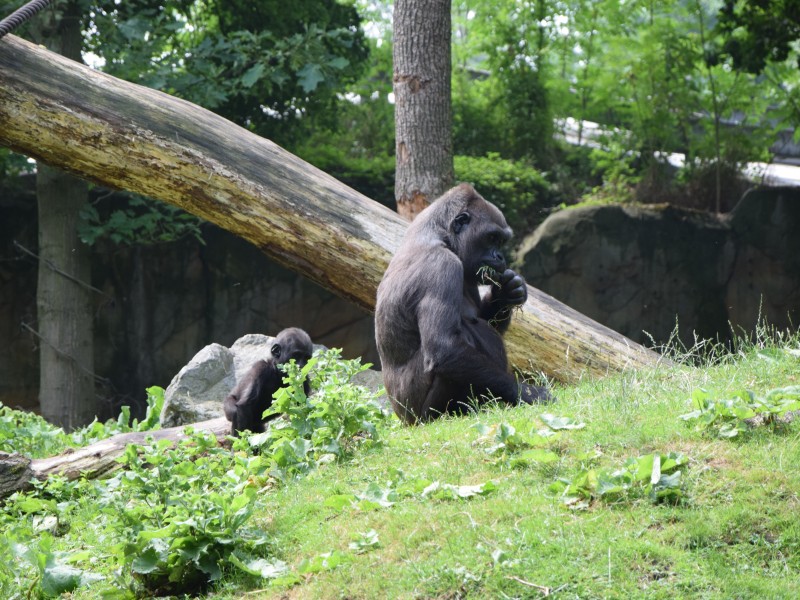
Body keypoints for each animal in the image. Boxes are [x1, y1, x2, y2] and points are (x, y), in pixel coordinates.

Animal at [376, 185, 552, 424]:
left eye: (500, 241)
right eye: (491, 237)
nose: (500, 257)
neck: (439, 233)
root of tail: (402, 419)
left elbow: (486, 319)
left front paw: (506, 293)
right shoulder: (443, 265)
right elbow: (445, 348)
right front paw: (526, 392)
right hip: (418, 416)